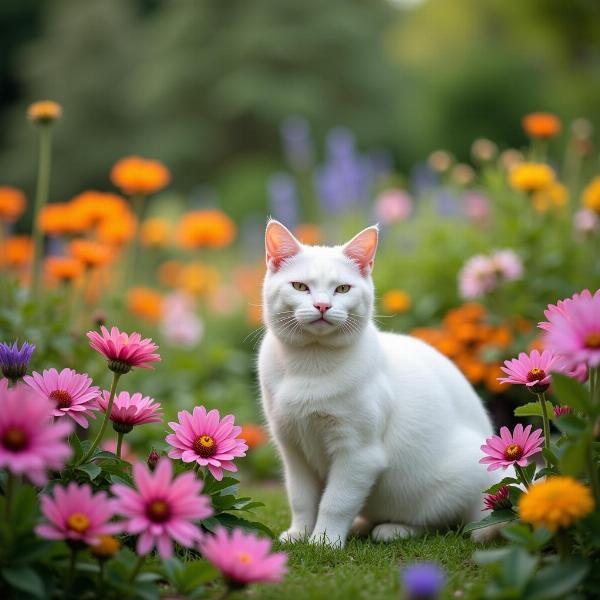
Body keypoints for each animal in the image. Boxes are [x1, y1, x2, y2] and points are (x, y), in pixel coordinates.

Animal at [258, 221, 496, 548]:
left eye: (342, 288)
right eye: (300, 287)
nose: (322, 305)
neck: (310, 365)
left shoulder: (359, 453)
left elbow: (336, 501)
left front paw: (324, 541)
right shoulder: (292, 449)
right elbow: (301, 498)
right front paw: (299, 534)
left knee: (442, 524)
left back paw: (392, 530)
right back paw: (361, 525)